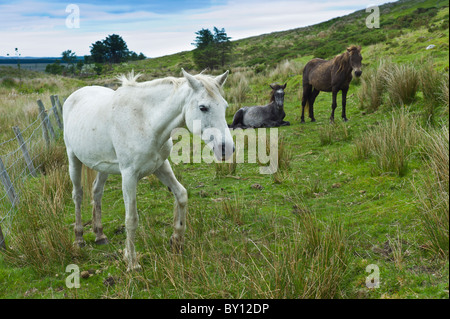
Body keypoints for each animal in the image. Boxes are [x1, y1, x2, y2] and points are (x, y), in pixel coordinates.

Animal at [63, 69, 234, 272]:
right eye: (203, 107)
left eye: (225, 106)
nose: (227, 149)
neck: (145, 120)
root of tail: (74, 95)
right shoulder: (129, 175)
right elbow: (131, 219)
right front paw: (132, 262)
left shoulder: (160, 166)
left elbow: (181, 195)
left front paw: (176, 240)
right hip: (73, 159)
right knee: (78, 195)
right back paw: (79, 238)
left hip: (103, 166)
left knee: (96, 191)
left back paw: (100, 235)